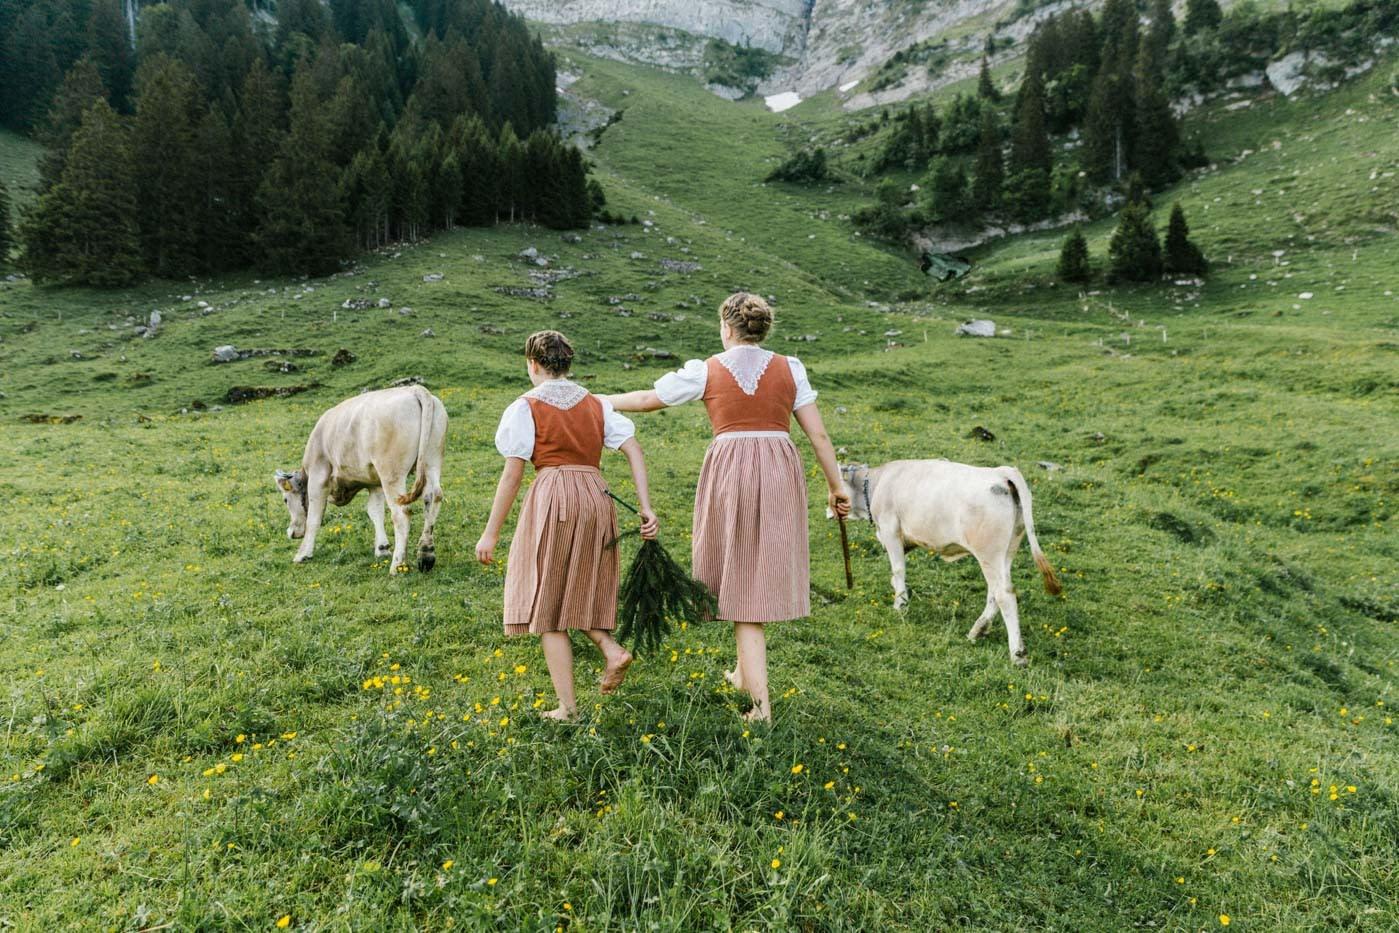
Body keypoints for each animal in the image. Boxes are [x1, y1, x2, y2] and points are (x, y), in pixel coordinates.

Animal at [272, 383, 447, 573]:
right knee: (433, 497)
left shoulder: (318, 477)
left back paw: (398, 565)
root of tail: (414, 389)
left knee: (402, 513)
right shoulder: (374, 483)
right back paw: (426, 555)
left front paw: (303, 554)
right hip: (432, 460)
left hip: (392, 474)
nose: (291, 533)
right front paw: (382, 548)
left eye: (285, 500)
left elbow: (314, 517)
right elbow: (375, 512)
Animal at [839, 458, 1057, 663]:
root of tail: (1001, 473)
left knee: (1005, 595)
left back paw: (1017, 654)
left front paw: (900, 605)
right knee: (995, 591)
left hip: (989, 553)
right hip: (1007, 551)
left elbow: (898, 570)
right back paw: (978, 629)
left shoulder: (890, 529)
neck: (878, 481)